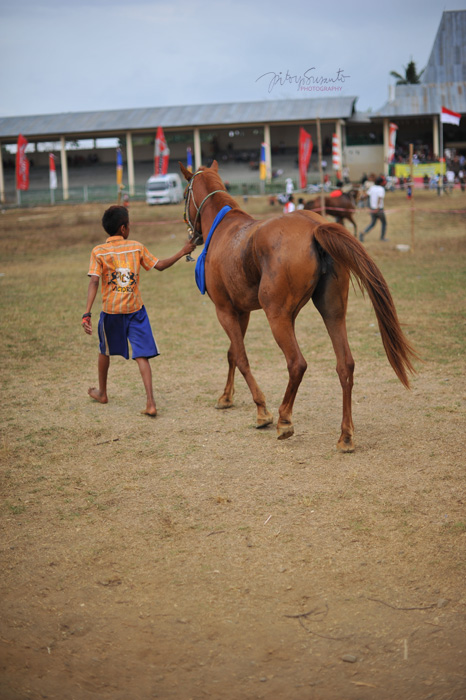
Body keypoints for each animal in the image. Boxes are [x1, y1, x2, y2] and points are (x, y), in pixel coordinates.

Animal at [178, 161, 416, 452]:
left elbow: (242, 358)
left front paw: (262, 411)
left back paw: (284, 420)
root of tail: (314, 227)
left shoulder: (225, 310)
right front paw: (226, 397)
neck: (224, 229)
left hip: (277, 317)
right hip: (332, 312)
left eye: (185, 193)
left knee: (297, 363)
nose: (192, 234)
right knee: (345, 365)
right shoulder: (241, 312)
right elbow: (233, 353)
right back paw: (345, 435)